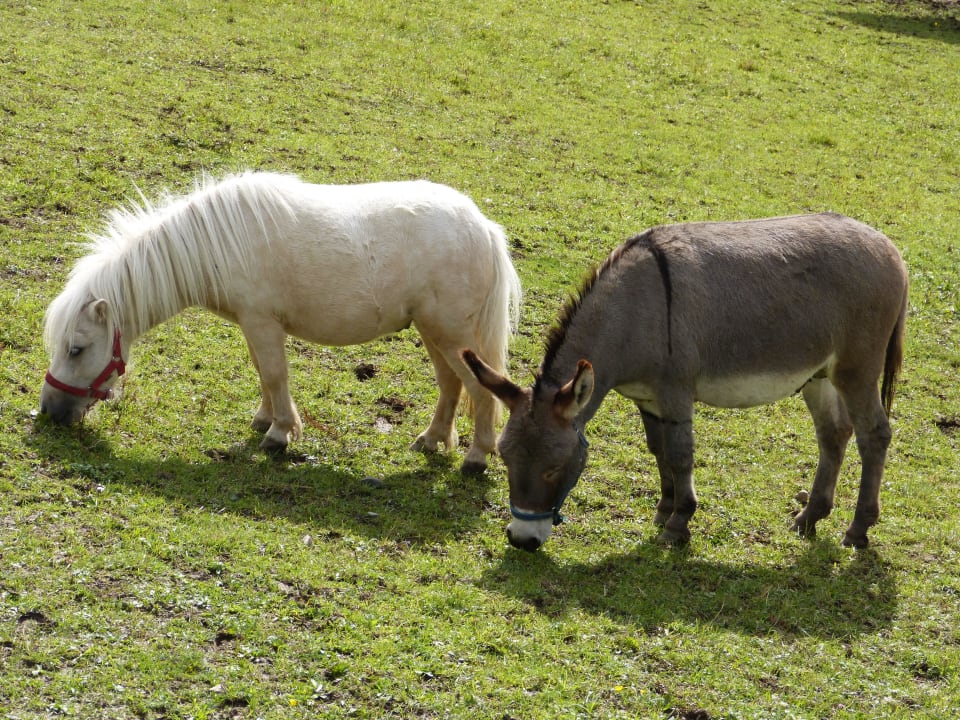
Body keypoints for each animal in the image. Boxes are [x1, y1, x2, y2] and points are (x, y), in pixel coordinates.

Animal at [40, 171, 521, 474]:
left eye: (77, 348)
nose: (48, 412)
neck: (217, 245)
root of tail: (484, 228)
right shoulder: (253, 325)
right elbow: (263, 372)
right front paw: (265, 419)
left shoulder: (261, 322)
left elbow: (274, 373)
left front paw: (280, 432)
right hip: (434, 332)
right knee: (450, 385)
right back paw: (432, 438)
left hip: (451, 335)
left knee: (479, 389)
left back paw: (476, 458)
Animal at [463, 213, 908, 550]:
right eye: (504, 457)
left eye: (554, 468)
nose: (521, 540)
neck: (633, 310)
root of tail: (889, 247)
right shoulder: (646, 399)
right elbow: (658, 451)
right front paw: (664, 510)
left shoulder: (675, 393)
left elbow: (680, 455)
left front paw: (679, 524)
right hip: (819, 374)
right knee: (834, 434)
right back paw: (809, 518)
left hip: (857, 369)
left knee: (874, 435)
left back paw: (858, 530)